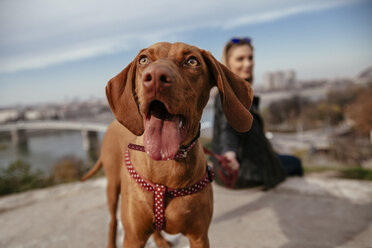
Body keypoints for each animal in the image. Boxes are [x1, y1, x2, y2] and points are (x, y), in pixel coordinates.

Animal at [82, 41, 253, 247]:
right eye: (143, 60)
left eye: (192, 61)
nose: (155, 77)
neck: (168, 166)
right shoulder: (133, 238)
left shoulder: (199, 236)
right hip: (113, 186)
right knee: (113, 221)